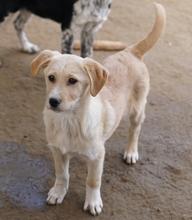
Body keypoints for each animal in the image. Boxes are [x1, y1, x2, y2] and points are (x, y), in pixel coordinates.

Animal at [30, 3, 165, 216]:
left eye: (72, 81)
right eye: (51, 77)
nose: (53, 101)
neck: (70, 121)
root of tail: (130, 51)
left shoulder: (97, 156)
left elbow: (93, 180)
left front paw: (93, 202)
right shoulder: (57, 150)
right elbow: (62, 174)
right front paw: (58, 193)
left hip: (137, 108)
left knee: (134, 130)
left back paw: (131, 152)